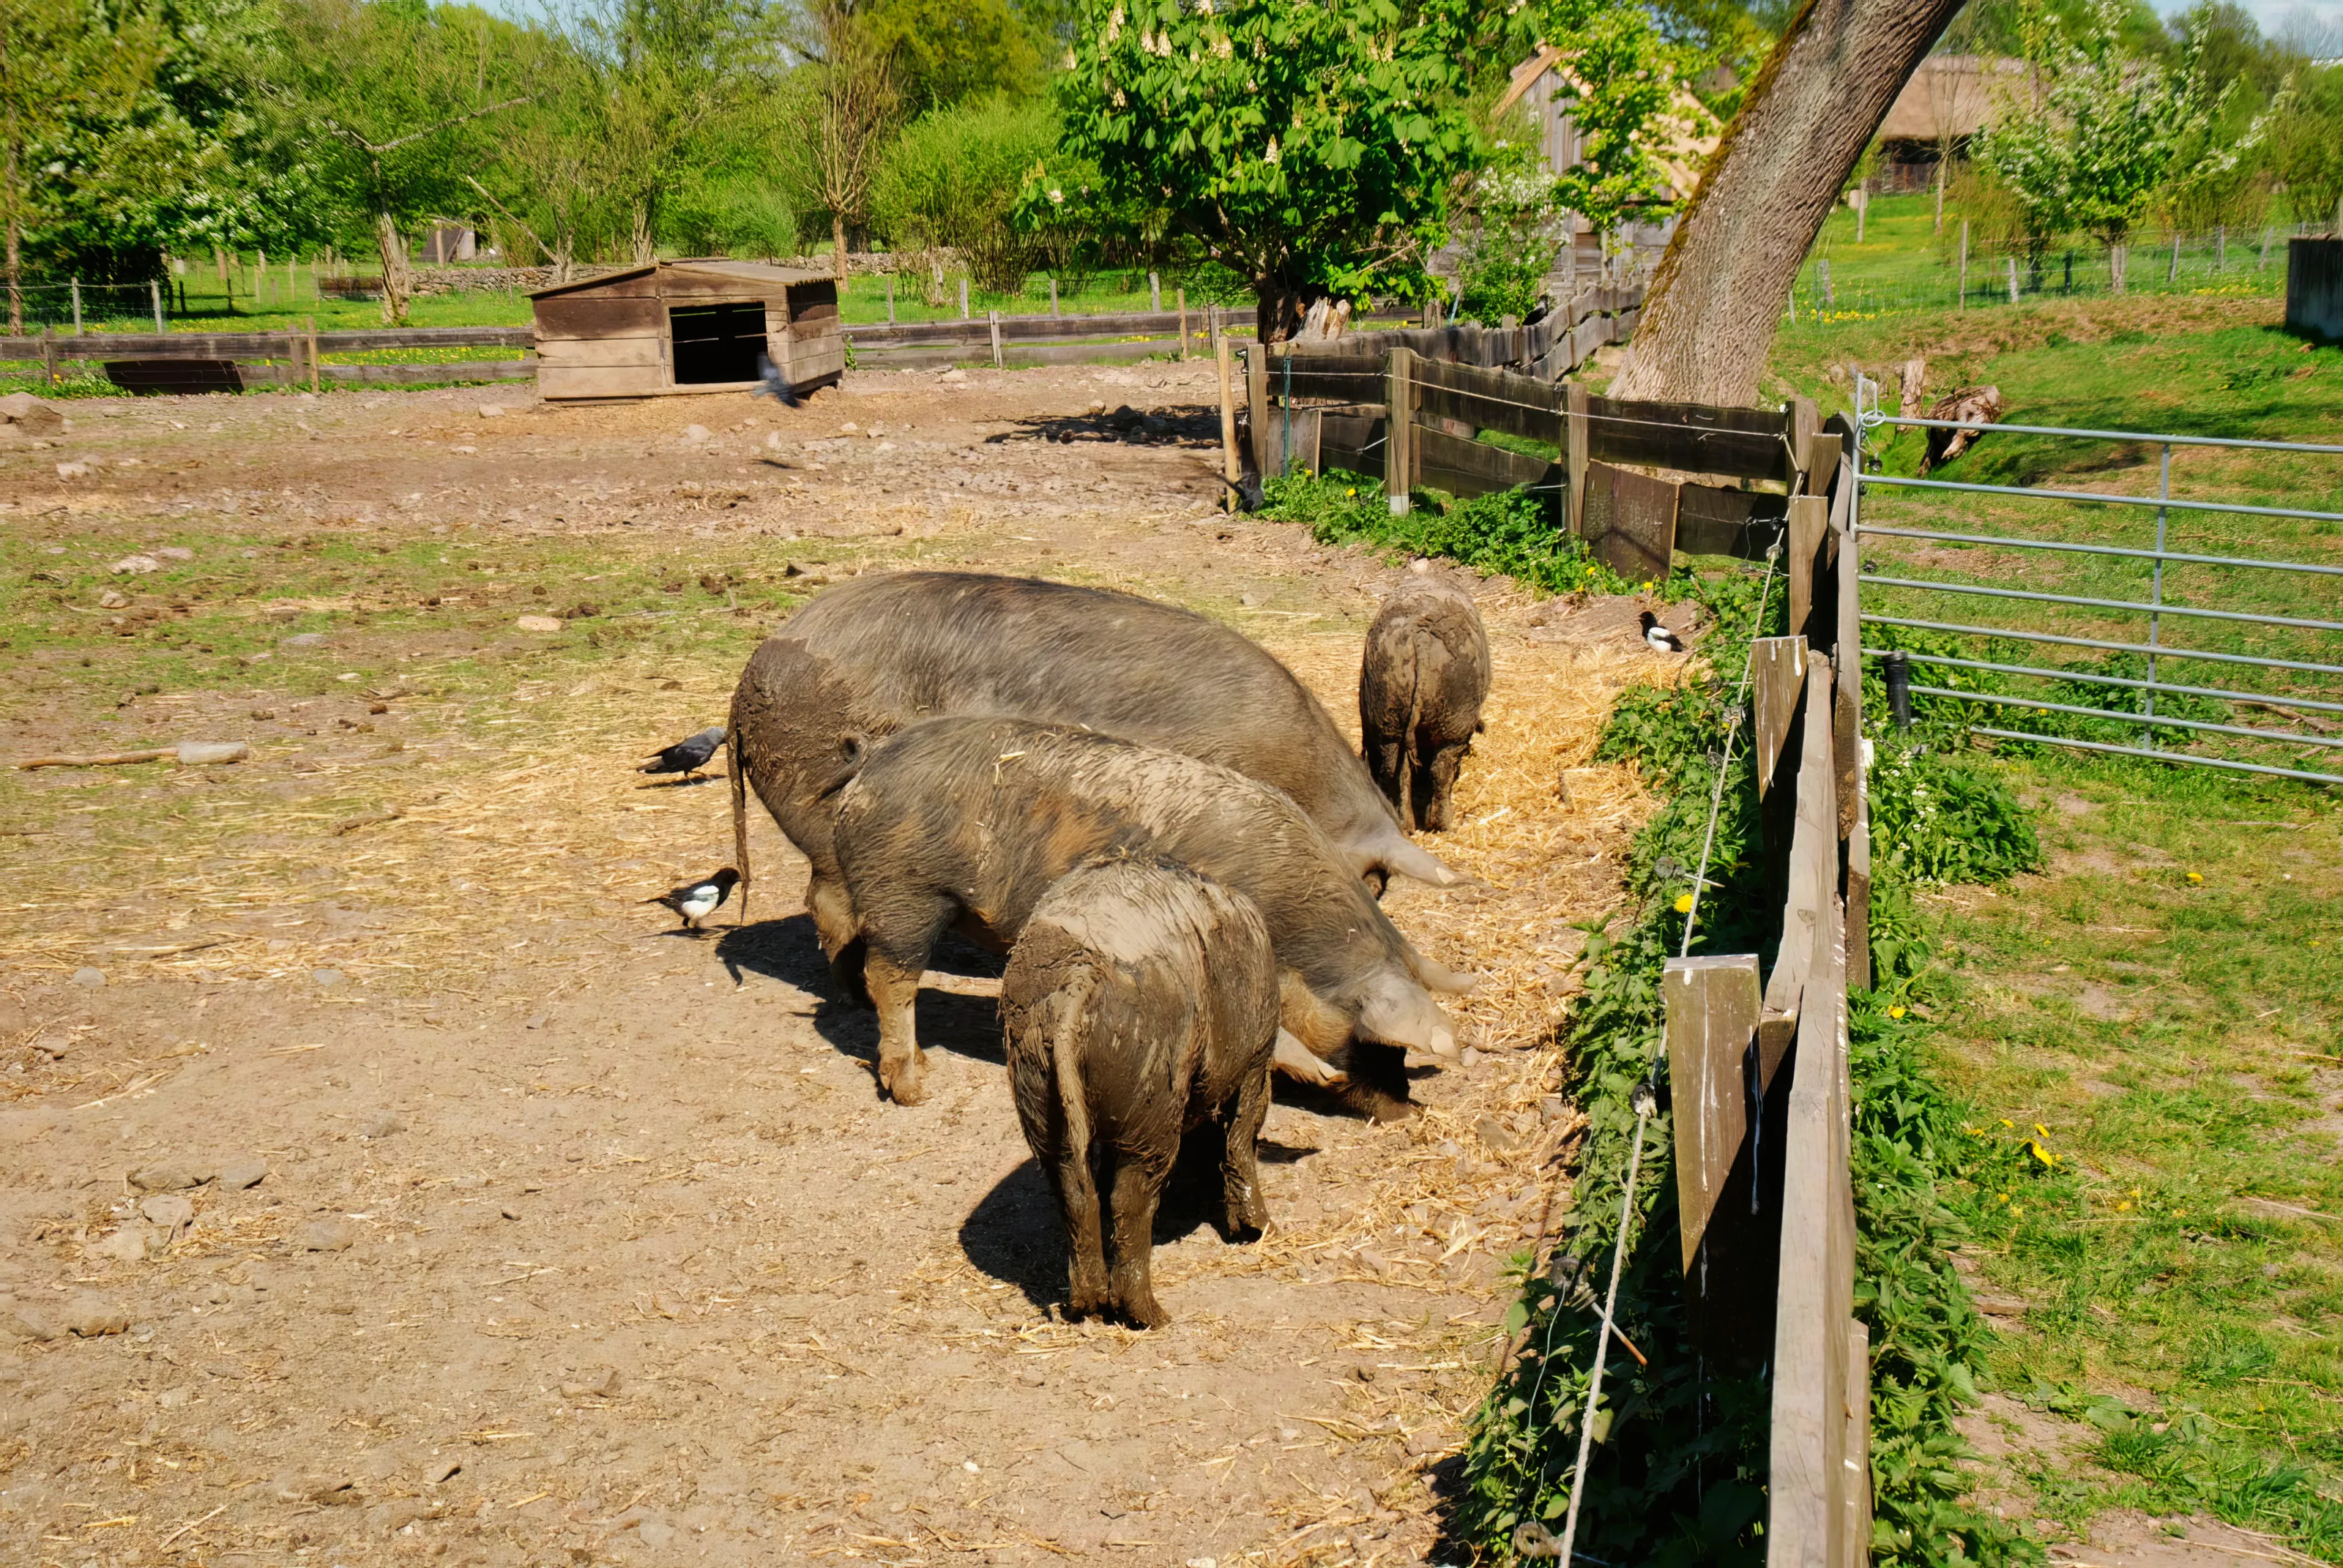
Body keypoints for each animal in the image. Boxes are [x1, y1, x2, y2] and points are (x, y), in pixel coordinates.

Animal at [828, 717, 1472, 1114]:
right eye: (1366, 1036)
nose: (1403, 1108)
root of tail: (870, 760)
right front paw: (1322, 1075)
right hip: (904, 892)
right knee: (891, 979)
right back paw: (913, 1089)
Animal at [1002, 858, 1278, 1327]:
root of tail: (1078, 977)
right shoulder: (1257, 1060)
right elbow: (1242, 1137)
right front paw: (1260, 1230)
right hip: (1152, 1105)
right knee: (1130, 1198)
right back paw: (1153, 1316)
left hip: (1037, 1087)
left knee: (1075, 1191)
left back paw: (1086, 1308)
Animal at [1359, 563, 1490, 832]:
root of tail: (1421, 639)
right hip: (1455, 726)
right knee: (1440, 769)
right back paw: (1442, 823)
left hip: (1389, 719)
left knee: (1396, 770)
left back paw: (1407, 823)